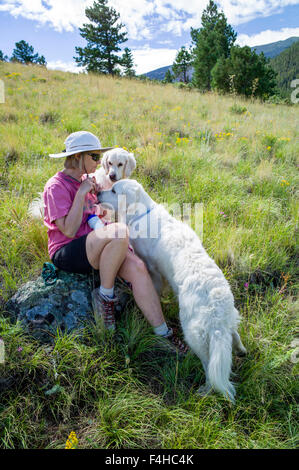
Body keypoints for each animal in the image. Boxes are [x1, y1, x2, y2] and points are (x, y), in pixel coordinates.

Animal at [99, 178, 248, 402]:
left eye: (114, 190)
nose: (98, 192)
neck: (143, 212)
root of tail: (217, 315)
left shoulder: (151, 267)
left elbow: (155, 288)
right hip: (228, 322)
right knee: (234, 335)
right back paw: (241, 350)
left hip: (194, 335)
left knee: (209, 367)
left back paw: (205, 390)